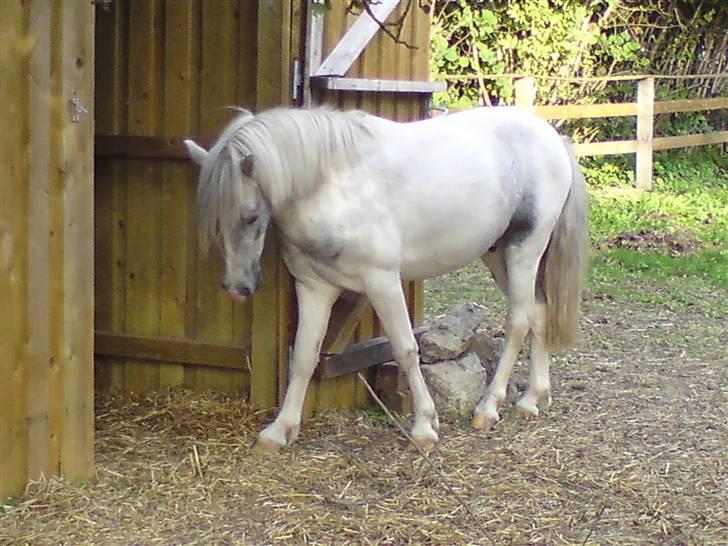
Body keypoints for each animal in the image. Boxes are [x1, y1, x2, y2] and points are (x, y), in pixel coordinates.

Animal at [185, 106, 588, 450]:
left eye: (251, 216)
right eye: (215, 221)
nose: (237, 288)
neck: (335, 186)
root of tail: (552, 137)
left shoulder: (382, 282)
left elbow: (406, 349)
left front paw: (424, 426)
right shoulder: (314, 287)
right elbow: (303, 357)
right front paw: (279, 430)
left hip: (524, 250)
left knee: (518, 322)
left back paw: (488, 409)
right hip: (499, 256)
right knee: (538, 313)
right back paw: (531, 399)